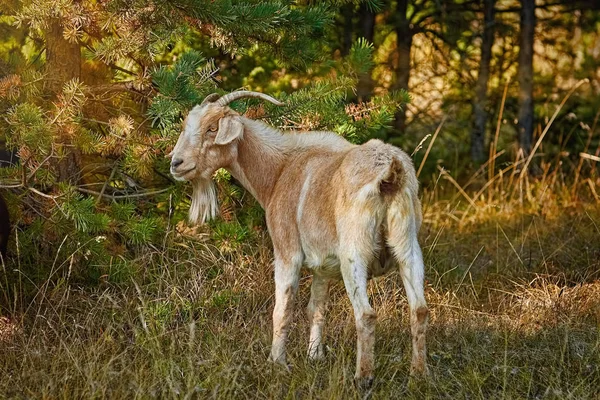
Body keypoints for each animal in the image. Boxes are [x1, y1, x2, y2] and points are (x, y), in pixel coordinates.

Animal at [171, 90, 428, 384]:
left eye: (212, 128)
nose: (176, 163)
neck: (279, 172)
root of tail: (391, 173)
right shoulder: (323, 267)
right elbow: (316, 309)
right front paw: (315, 356)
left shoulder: (287, 251)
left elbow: (282, 311)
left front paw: (276, 363)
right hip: (408, 247)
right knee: (419, 310)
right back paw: (419, 374)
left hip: (355, 254)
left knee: (366, 314)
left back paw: (362, 378)